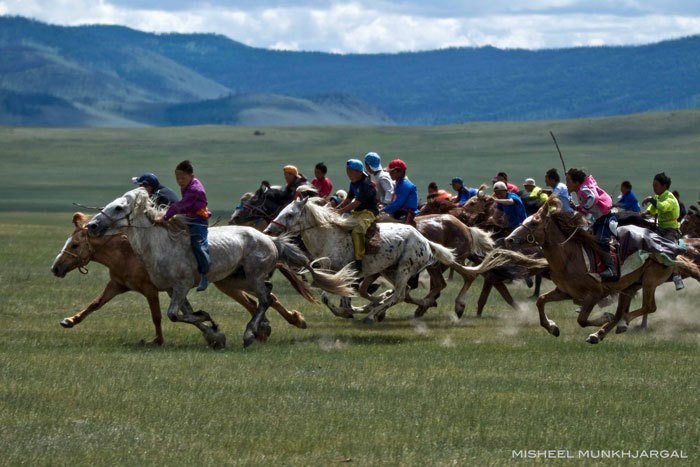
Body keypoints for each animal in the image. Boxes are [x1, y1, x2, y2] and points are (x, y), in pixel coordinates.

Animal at [51, 212, 313, 345]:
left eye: (75, 245)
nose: (55, 268)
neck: (128, 253)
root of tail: (271, 240)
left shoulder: (153, 289)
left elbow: (159, 316)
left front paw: (158, 340)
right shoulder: (117, 285)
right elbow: (94, 305)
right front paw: (69, 321)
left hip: (238, 281)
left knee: (266, 297)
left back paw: (287, 323)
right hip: (230, 281)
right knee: (259, 299)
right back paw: (264, 329)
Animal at [87, 188, 356, 348]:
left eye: (118, 208)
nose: (92, 226)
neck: (161, 244)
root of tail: (271, 239)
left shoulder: (182, 285)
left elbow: (175, 314)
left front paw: (210, 323)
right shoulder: (173, 289)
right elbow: (184, 314)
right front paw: (214, 334)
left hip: (253, 276)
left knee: (264, 298)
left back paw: (250, 334)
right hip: (235, 279)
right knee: (267, 294)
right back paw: (262, 329)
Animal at [263, 198, 546, 323]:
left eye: (289, 214)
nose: (268, 229)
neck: (329, 236)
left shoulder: (349, 273)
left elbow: (344, 297)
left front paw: (356, 310)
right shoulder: (337, 274)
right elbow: (329, 295)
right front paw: (353, 308)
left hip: (408, 268)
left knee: (407, 292)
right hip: (396, 268)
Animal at [504, 198, 700, 344]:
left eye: (534, 223)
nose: (509, 239)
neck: (570, 257)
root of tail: (672, 248)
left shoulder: (594, 294)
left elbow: (582, 320)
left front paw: (604, 316)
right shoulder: (565, 291)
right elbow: (541, 300)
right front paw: (552, 327)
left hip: (650, 279)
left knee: (648, 307)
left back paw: (621, 323)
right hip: (629, 286)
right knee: (624, 310)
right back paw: (600, 333)